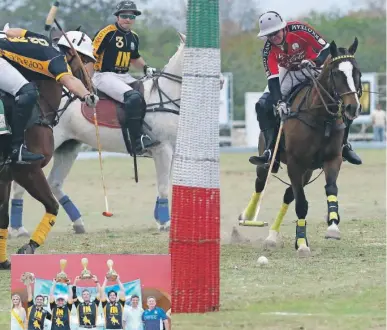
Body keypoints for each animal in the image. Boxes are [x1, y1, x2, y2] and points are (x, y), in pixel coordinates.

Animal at [0, 58, 89, 268]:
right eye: (82, 60)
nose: (91, 88)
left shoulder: (5, 176)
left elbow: (3, 219)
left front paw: (5, 261)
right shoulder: (27, 171)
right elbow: (53, 206)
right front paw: (28, 247)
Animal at [8, 32, 191, 236]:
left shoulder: (171, 150)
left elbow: (166, 184)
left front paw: (160, 218)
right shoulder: (162, 149)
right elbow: (163, 186)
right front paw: (165, 223)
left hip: (69, 146)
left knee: (54, 182)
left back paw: (78, 222)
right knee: (21, 181)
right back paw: (17, 228)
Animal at [239, 37, 364, 256]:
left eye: (357, 72)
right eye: (336, 73)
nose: (353, 107)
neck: (321, 117)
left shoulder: (332, 159)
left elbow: (331, 188)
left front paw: (332, 226)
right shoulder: (295, 163)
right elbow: (302, 205)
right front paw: (303, 244)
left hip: (307, 171)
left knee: (288, 194)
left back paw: (272, 236)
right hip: (271, 161)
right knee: (261, 182)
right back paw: (249, 216)